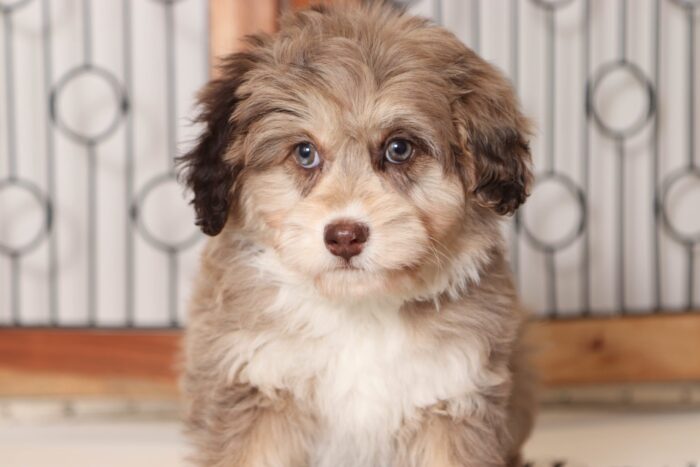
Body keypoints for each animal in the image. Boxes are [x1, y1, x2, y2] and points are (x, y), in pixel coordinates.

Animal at [180, 1, 536, 466]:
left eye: (399, 148)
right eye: (304, 152)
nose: (345, 236)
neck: (358, 311)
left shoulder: (453, 393)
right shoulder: (255, 386)